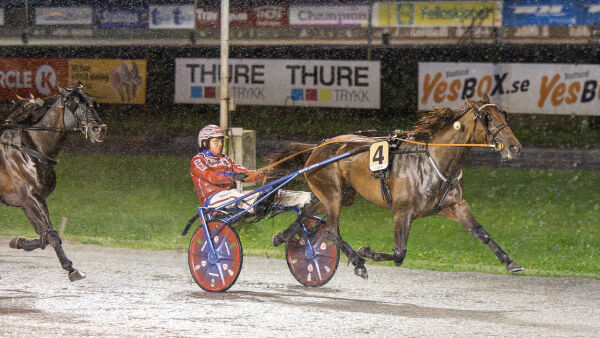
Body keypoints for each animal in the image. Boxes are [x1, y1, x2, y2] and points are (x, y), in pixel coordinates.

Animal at [0, 85, 106, 282]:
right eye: (73, 103)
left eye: (93, 102)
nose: (99, 129)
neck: (31, 146)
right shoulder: (30, 197)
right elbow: (53, 235)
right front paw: (71, 268)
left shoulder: (27, 201)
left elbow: (45, 235)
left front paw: (18, 242)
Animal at [270, 96, 524, 278]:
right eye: (487, 117)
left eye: (503, 115)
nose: (515, 147)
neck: (435, 160)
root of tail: (317, 147)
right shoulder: (403, 211)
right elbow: (399, 254)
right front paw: (365, 252)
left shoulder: (456, 206)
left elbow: (481, 232)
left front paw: (510, 262)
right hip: (332, 193)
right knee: (332, 230)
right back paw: (357, 262)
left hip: (342, 195)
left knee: (306, 211)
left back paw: (283, 237)